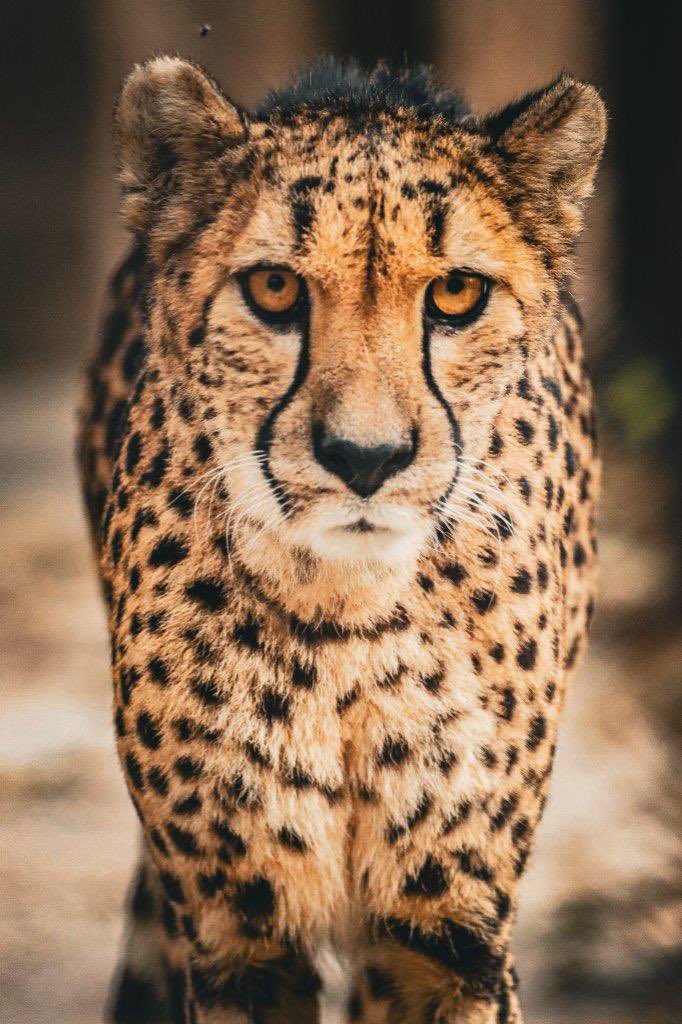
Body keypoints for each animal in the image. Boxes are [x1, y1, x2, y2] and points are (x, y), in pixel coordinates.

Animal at [78, 56, 606, 1024]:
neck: (347, 612)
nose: (367, 457)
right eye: (275, 289)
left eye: (457, 294)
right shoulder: (240, 942)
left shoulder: (450, 936)